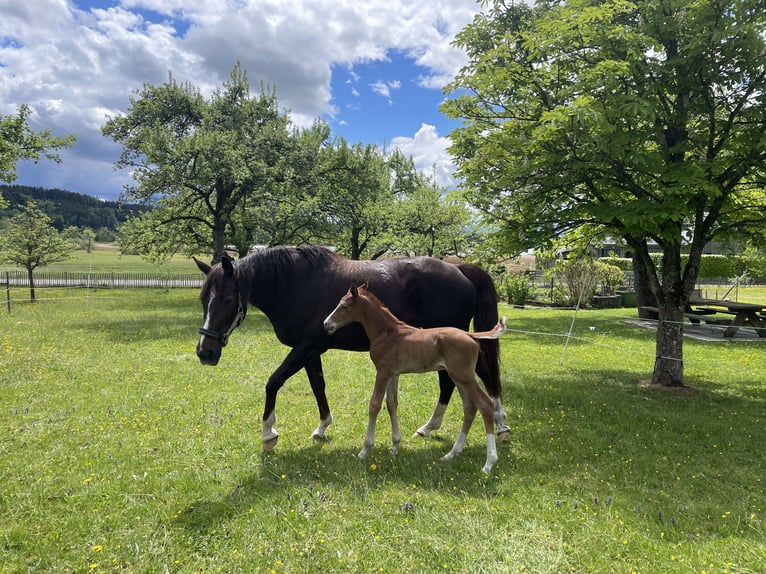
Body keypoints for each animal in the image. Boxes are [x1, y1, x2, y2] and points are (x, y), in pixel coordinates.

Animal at [194, 246, 510, 451]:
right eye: (203, 299)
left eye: (226, 300)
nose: (204, 352)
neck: (295, 284)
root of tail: (459, 268)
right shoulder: (311, 351)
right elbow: (318, 386)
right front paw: (322, 427)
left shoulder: (306, 347)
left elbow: (273, 382)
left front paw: (269, 433)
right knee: (454, 382)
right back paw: (433, 426)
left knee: (475, 376)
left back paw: (498, 424)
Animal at [324, 284, 507, 473]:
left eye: (344, 306)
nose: (326, 324)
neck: (386, 333)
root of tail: (470, 335)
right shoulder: (393, 373)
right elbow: (392, 404)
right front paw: (395, 447)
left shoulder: (382, 372)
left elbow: (374, 405)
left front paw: (365, 450)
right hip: (459, 377)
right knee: (470, 407)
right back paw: (451, 454)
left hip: (463, 376)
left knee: (485, 404)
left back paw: (489, 463)